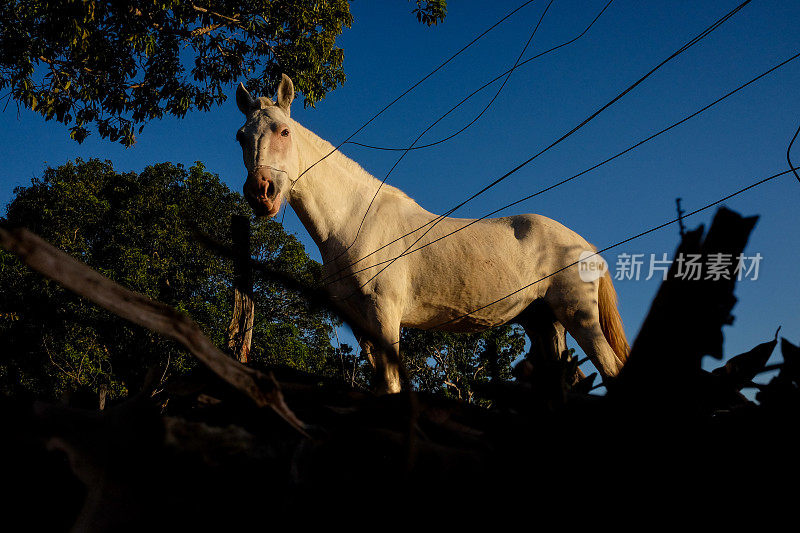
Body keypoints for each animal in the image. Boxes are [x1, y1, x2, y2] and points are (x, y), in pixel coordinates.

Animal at [234, 74, 628, 390]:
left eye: (284, 131)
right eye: (241, 136)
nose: (261, 192)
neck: (354, 222)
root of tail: (585, 245)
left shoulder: (385, 315)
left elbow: (392, 385)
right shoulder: (362, 327)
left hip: (580, 316)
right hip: (545, 323)